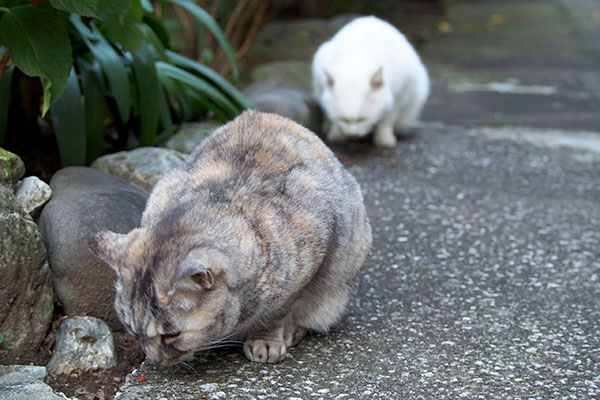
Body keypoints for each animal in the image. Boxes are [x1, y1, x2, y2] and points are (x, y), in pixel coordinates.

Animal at [88, 111, 370, 364]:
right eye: (130, 329)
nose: (155, 360)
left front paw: (266, 340)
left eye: (171, 335)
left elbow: (277, 313)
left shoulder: (303, 271)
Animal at [312, 16, 428, 147]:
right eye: (344, 119)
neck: (357, 59)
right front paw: (337, 134)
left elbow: (388, 119)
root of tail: (370, 18)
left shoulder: (400, 95)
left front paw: (384, 139)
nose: (353, 136)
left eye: (363, 119)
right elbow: (333, 118)